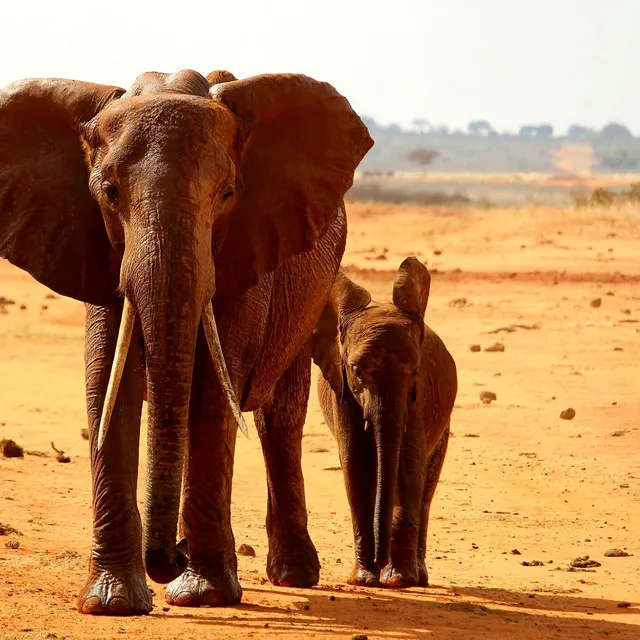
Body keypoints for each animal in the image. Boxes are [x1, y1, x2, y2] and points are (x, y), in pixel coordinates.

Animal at [0, 70, 372, 616]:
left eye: (228, 193)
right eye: (108, 192)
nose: (171, 554)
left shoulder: (245, 250)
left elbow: (216, 393)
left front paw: (204, 595)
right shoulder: (95, 249)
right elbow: (107, 386)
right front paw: (112, 603)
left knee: (278, 418)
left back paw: (291, 575)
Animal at [312, 258, 458, 588]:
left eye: (415, 371)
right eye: (356, 370)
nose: (380, 562)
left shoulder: (417, 400)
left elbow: (409, 465)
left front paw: (398, 580)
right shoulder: (341, 391)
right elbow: (354, 466)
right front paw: (364, 580)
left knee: (426, 488)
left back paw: (418, 576)